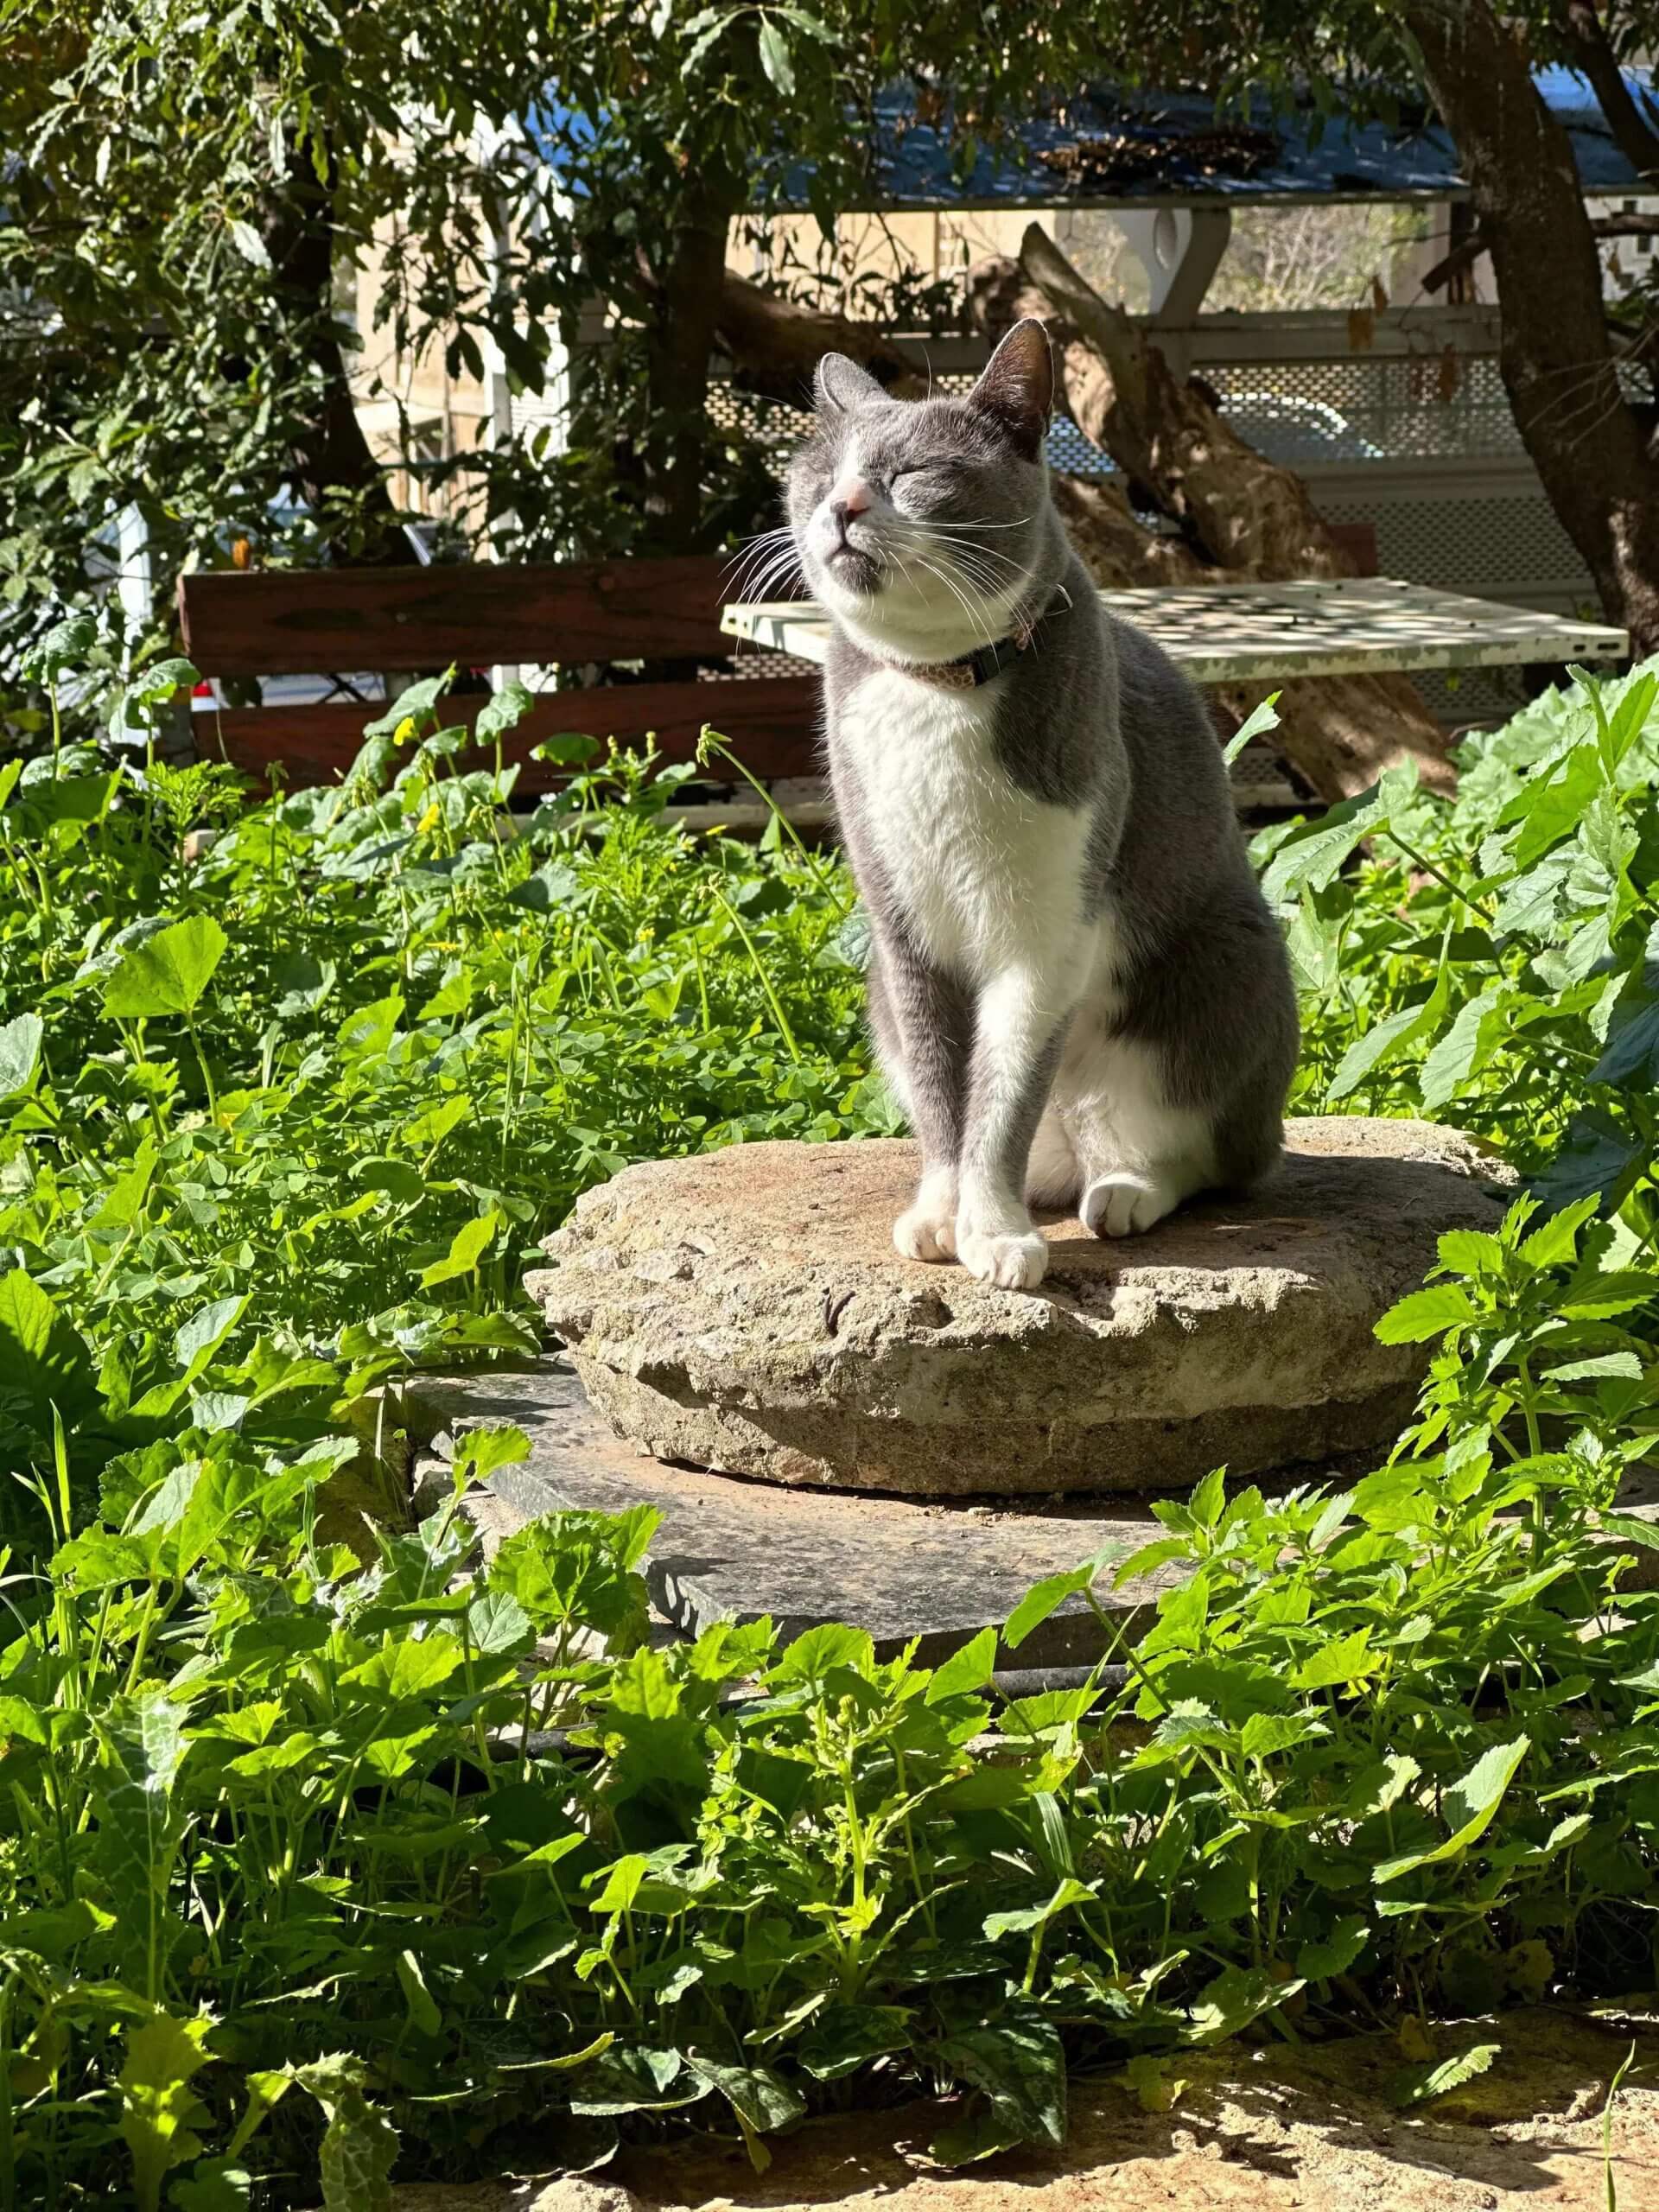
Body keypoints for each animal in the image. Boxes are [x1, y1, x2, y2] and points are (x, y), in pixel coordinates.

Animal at [787, 318, 1309, 1292]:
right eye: (817, 471)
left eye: (913, 473)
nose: (841, 505)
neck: (935, 686)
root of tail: (1069, 1159)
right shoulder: (902, 934)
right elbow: (944, 1095)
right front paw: (942, 1214)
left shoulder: (1047, 935)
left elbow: (1001, 1100)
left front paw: (992, 1234)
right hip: (875, 986)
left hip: (1229, 966)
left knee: (1213, 1155)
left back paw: (1124, 1192)